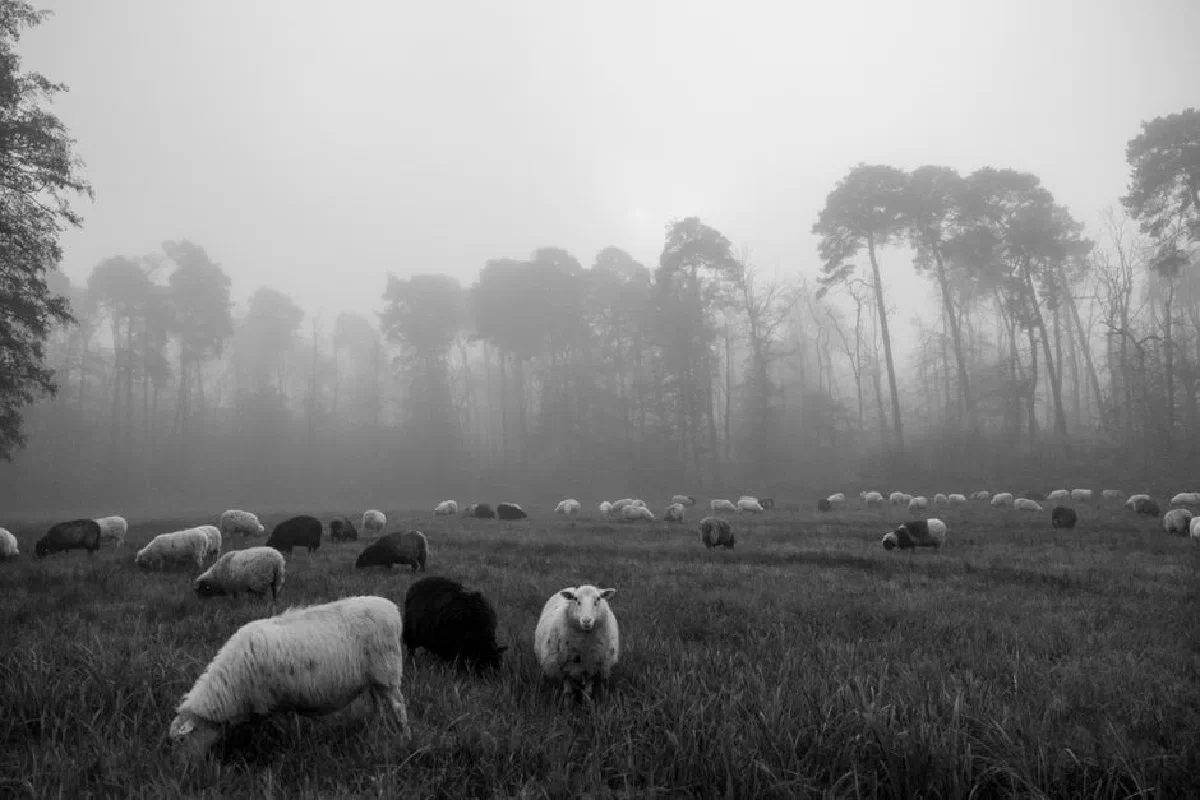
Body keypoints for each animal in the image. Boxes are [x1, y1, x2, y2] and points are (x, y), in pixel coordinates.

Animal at [168, 596, 411, 759]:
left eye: (182, 740)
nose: (182, 770)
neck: (230, 686)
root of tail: (391, 608)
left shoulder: (271, 702)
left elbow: (275, 729)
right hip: (376, 679)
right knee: (378, 705)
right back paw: (376, 728)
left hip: (388, 671)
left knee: (398, 706)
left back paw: (403, 736)